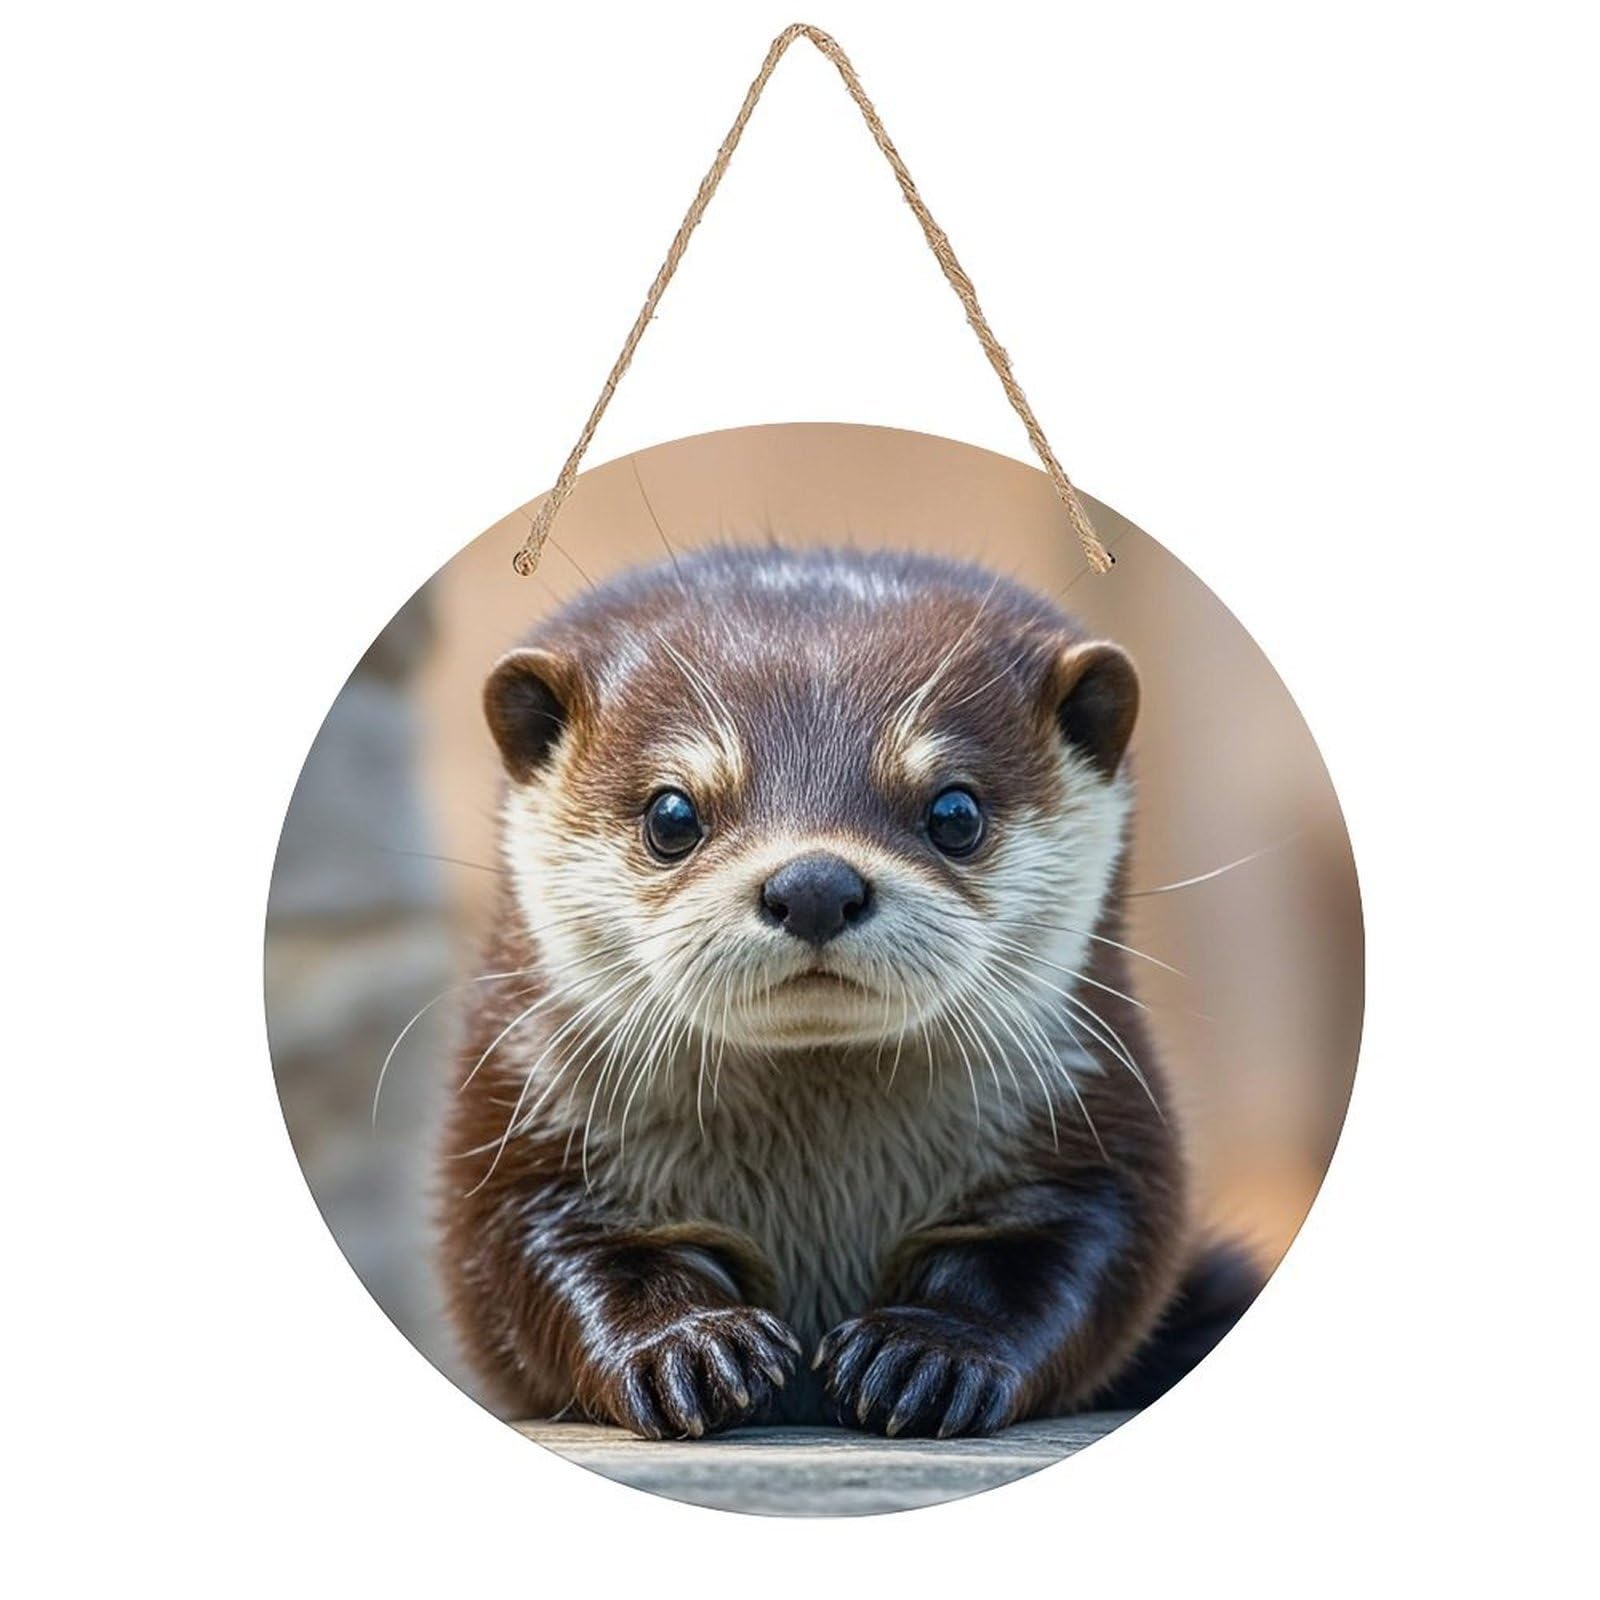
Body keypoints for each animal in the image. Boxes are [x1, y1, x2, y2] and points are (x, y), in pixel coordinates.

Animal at [440, 545, 1260, 1439]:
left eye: (955, 811)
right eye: (671, 815)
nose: (814, 885)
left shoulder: (1093, 1128)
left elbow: (1072, 1254)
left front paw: (929, 1353)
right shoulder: (528, 1127)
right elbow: (537, 1255)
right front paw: (686, 1346)